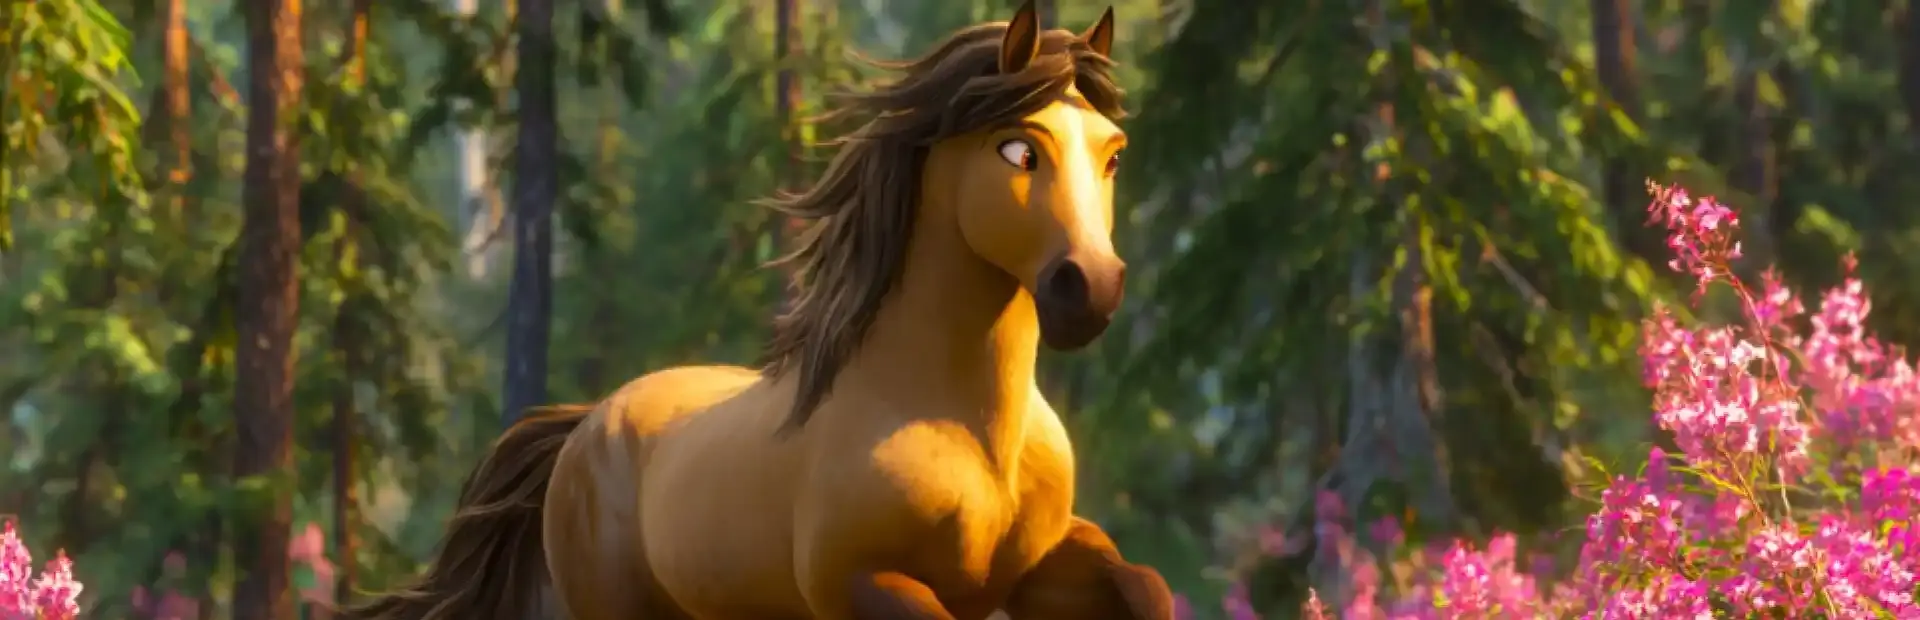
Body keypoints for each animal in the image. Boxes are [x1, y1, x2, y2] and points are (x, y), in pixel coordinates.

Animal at [345, 3, 1172, 619]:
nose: (1090, 289)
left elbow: (1145, 587)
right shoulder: (862, 584)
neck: (965, 427)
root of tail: (584, 422)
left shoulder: (1041, 568)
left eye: (1114, 154)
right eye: (1018, 151)